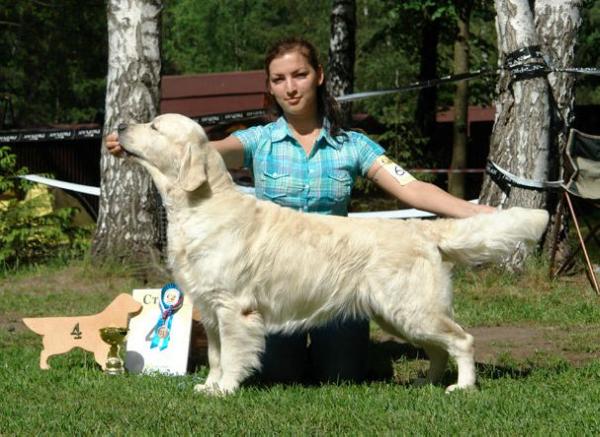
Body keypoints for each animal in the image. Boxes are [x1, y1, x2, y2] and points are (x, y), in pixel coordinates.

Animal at [117, 114, 548, 394]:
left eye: (154, 126)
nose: (119, 126)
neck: (199, 206)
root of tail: (421, 228)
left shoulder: (233, 308)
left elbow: (234, 355)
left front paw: (224, 390)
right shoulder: (209, 309)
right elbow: (216, 355)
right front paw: (208, 386)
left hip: (411, 308)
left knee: (463, 341)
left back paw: (462, 388)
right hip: (399, 314)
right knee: (438, 349)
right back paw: (427, 382)